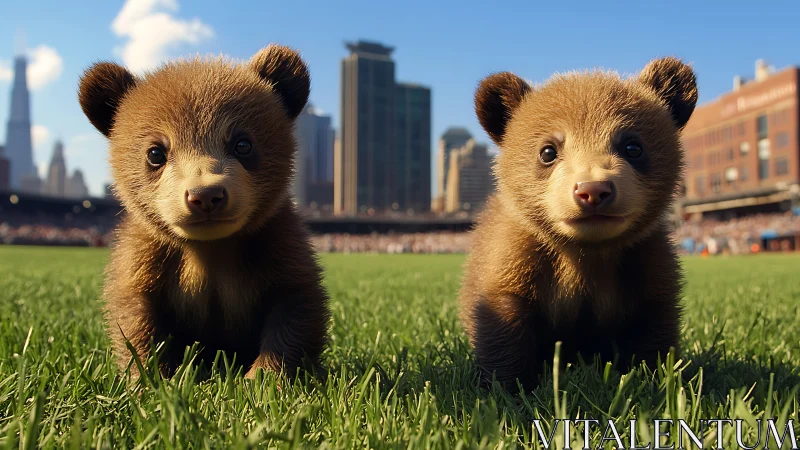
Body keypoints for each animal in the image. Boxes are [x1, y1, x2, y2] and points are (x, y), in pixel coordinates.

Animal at [78, 44, 331, 380]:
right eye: (155, 152)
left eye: (243, 144)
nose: (205, 195)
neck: (210, 248)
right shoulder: (148, 255)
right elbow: (135, 316)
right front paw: (153, 377)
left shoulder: (278, 245)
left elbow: (296, 307)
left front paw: (263, 378)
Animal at [460, 57, 697, 389]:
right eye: (547, 151)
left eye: (633, 147)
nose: (593, 189)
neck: (586, 254)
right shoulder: (515, 257)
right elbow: (503, 322)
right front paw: (508, 386)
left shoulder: (647, 263)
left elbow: (654, 326)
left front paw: (654, 378)